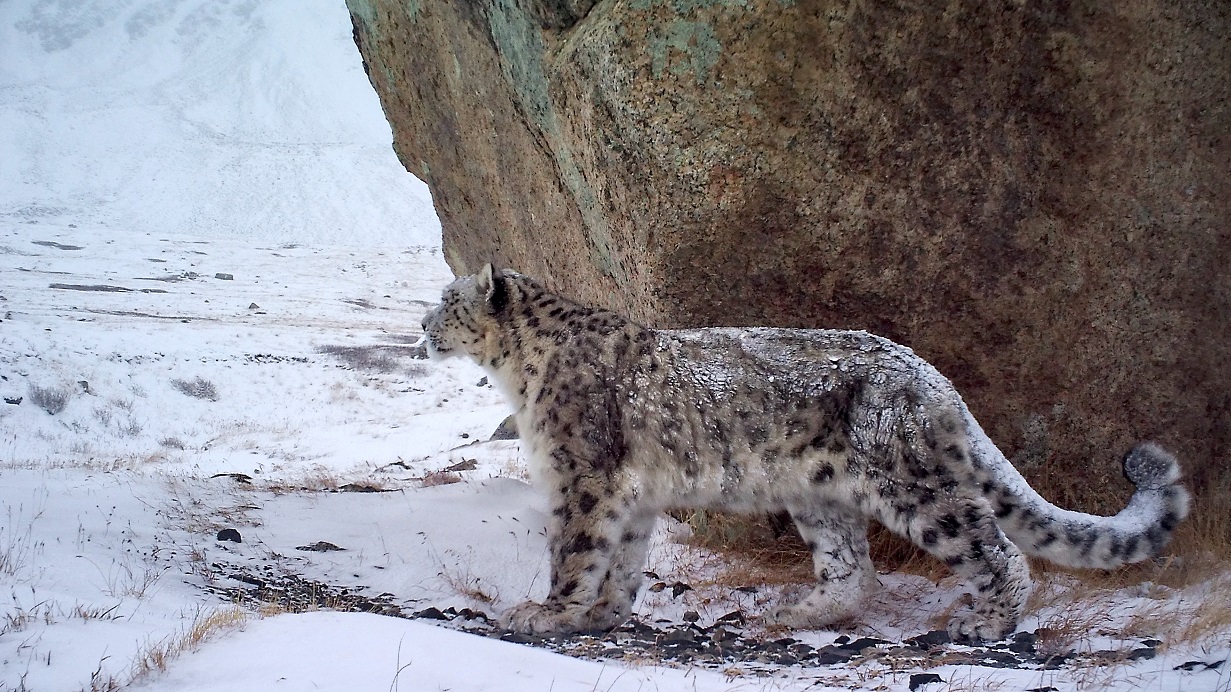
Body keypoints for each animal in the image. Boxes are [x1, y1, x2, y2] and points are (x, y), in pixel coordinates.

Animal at [423, 263, 1191, 640]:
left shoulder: (584, 478)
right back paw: (794, 614)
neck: (520, 375)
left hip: (911, 486)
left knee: (993, 547)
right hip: (819, 496)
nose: (423, 327)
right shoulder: (630, 497)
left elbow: (577, 550)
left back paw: (986, 621)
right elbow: (620, 560)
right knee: (854, 572)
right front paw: (602, 615)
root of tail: (930, 375)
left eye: (446, 301)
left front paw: (547, 613)